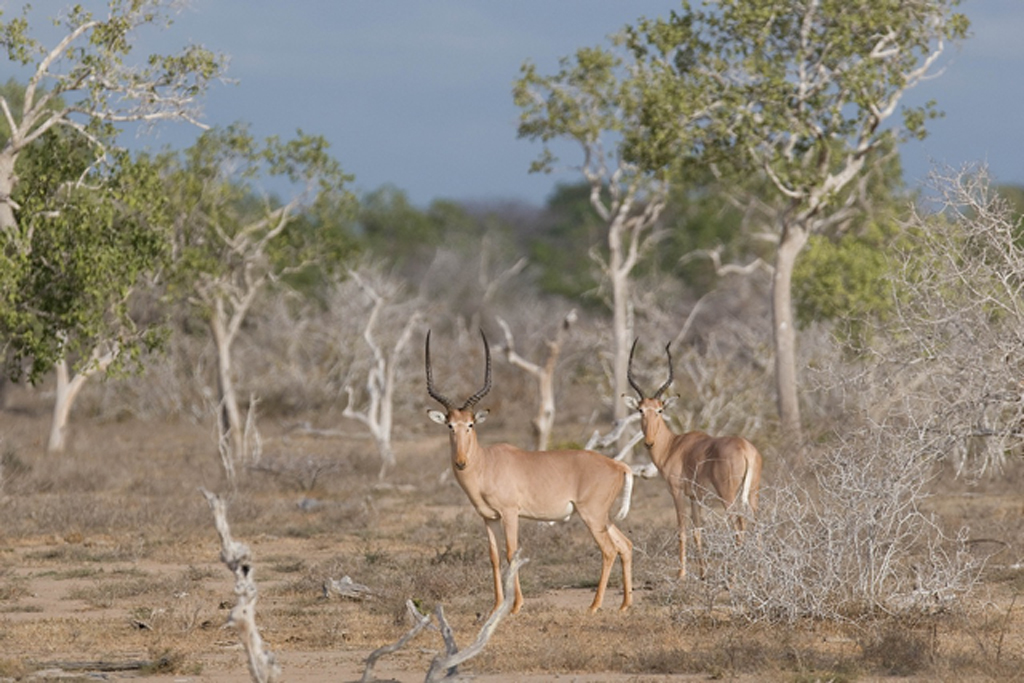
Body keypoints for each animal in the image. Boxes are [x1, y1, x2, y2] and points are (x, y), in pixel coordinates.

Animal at [423, 331, 630, 614]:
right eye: (450, 425)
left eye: (471, 424)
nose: (461, 462)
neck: (487, 463)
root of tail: (618, 465)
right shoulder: (488, 518)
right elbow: (494, 555)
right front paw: (497, 605)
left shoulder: (510, 514)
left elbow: (512, 553)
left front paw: (515, 605)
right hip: (603, 518)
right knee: (625, 545)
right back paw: (624, 605)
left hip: (592, 516)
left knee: (609, 550)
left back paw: (594, 606)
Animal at [622, 339, 761, 581]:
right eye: (640, 410)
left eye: (659, 410)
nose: (648, 442)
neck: (674, 446)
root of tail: (745, 448)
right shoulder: (696, 497)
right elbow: (698, 530)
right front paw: (703, 573)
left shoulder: (677, 492)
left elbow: (682, 530)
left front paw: (681, 574)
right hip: (752, 494)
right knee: (758, 524)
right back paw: (762, 573)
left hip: (728, 496)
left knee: (739, 524)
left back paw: (733, 576)